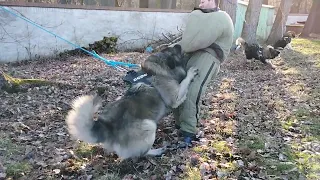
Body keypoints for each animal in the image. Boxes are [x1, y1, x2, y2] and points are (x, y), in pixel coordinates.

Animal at [65, 44, 198, 160]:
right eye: (175, 51)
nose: (179, 45)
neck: (156, 70)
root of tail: (108, 127)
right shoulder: (176, 97)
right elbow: (185, 81)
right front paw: (191, 73)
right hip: (149, 126)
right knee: (141, 153)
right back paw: (156, 151)